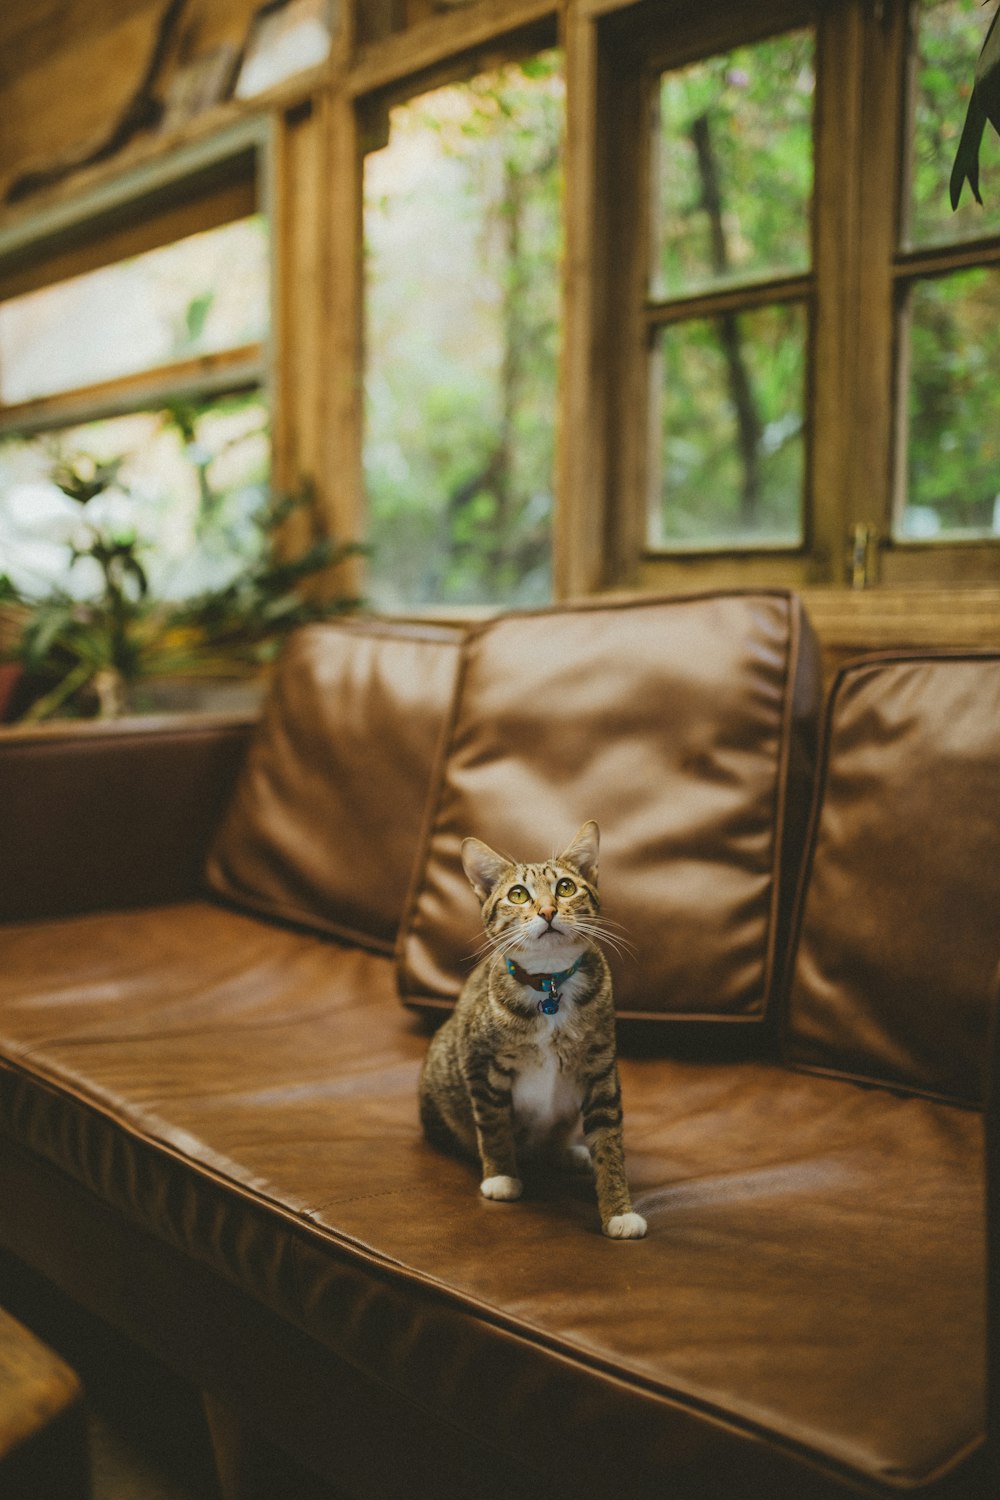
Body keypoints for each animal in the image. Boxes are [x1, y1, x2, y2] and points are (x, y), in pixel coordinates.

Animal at [416, 828, 644, 1236]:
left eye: (566, 887)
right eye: (518, 894)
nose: (548, 911)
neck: (549, 984)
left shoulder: (600, 1065)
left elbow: (609, 1141)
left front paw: (618, 1210)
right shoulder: (480, 1060)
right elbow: (493, 1123)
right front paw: (501, 1176)